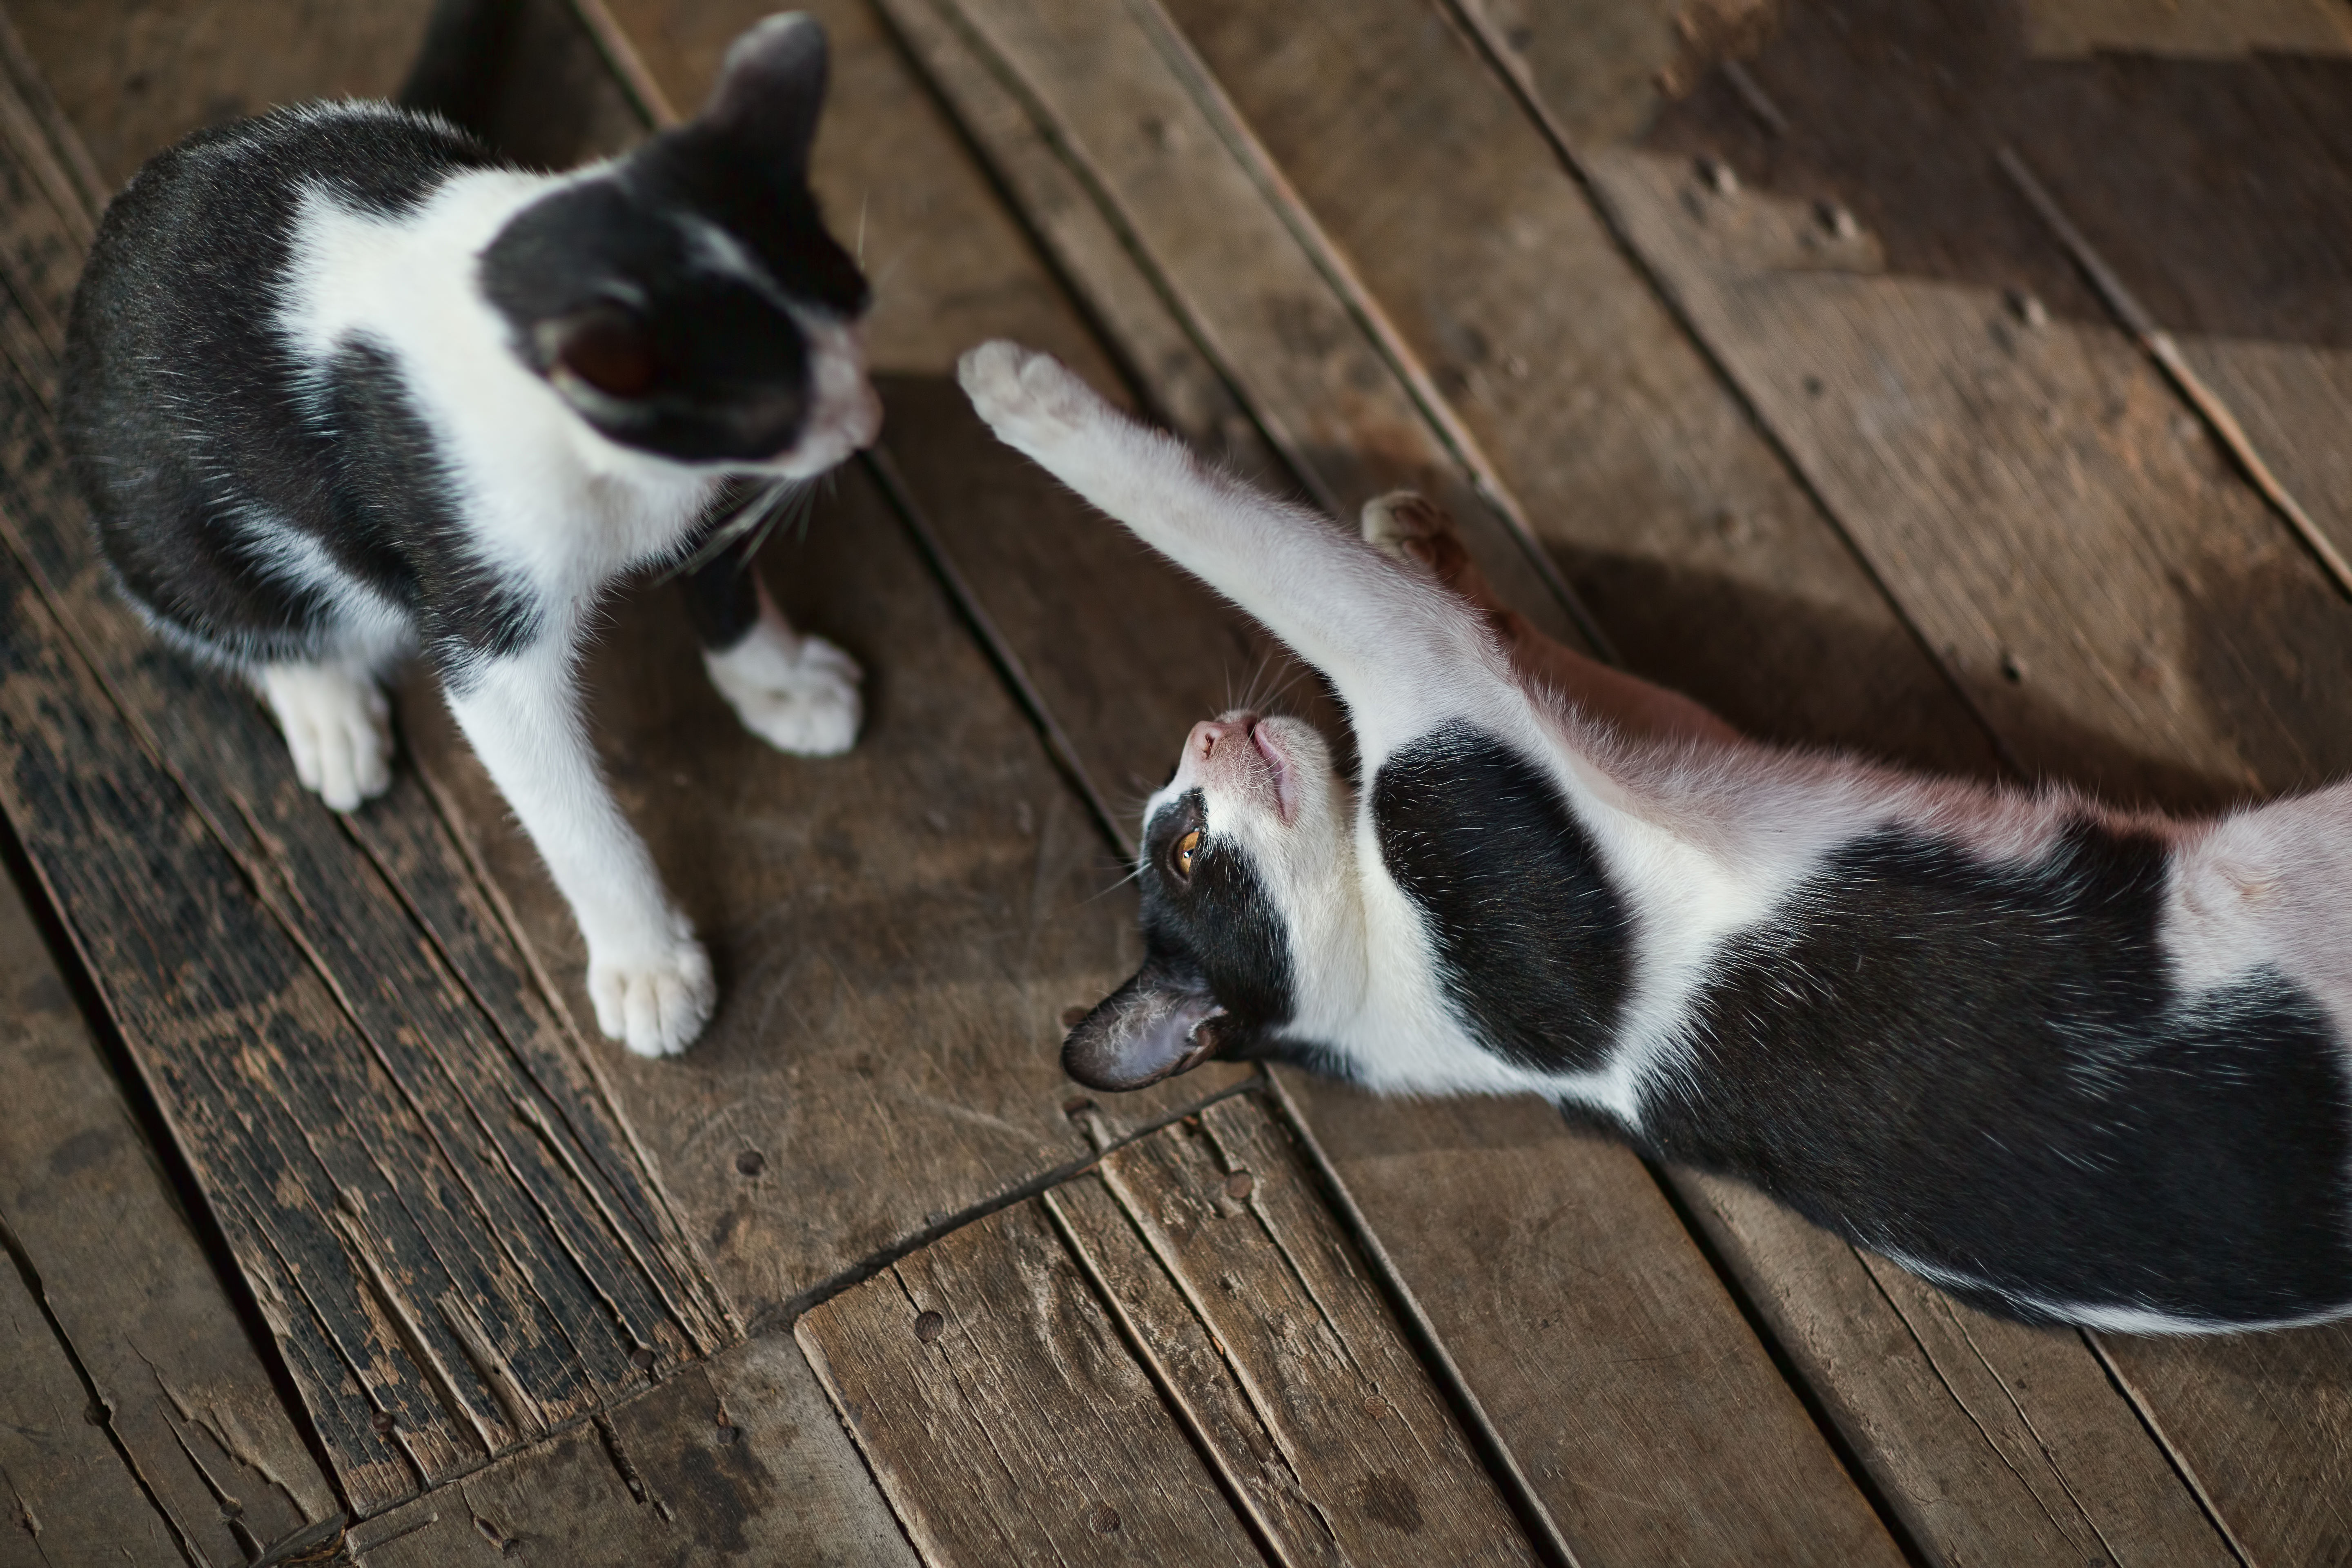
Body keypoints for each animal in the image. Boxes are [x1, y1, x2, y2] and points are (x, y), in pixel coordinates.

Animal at [64, 12, 880, 1053]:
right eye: (771, 405)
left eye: (857, 300)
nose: (865, 422)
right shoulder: (476, 601)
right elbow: (563, 807)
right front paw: (647, 964)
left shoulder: (696, 487)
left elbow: (721, 570)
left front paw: (777, 679)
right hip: (152, 505)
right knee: (222, 600)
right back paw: (326, 708)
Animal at [960, 341, 2352, 1335]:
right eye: (1184, 853)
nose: (1205, 728)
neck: (1392, 973)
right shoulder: (1441, 705)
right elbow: (1240, 538)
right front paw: (1013, 392)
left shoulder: (1645, 731)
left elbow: (1556, 654)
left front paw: (1424, 534)